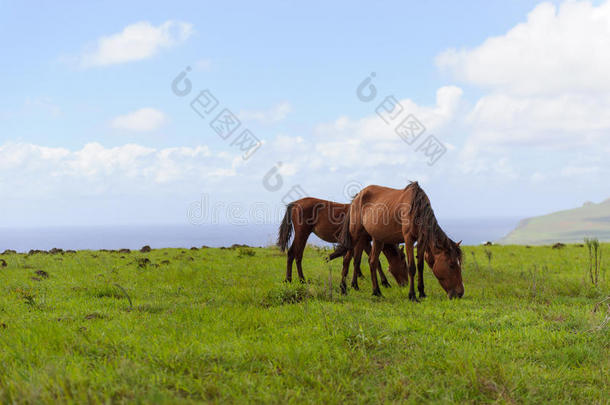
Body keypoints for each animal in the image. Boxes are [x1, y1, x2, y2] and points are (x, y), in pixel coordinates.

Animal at [278, 198, 406, 290]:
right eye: (404, 261)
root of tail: (295, 203)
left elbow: (356, 260)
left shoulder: (362, 242)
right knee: (297, 254)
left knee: (292, 253)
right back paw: (301, 279)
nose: (404, 284)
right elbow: (368, 261)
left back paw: (289, 279)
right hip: (302, 234)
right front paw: (384, 282)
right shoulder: (363, 241)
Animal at [330, 183, 464, 300]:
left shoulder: (421, 241)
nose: (460, 293)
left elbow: (420, 266)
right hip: (355, 235)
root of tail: (357, 196)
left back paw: (376, 291)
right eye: (451, 265)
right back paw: (343, 289)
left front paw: (422, 292)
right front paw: (412, 295)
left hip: (374, 238)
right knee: (347, 259)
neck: (417, 208)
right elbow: (412, 267)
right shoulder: (409, 239)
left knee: (372, 262)